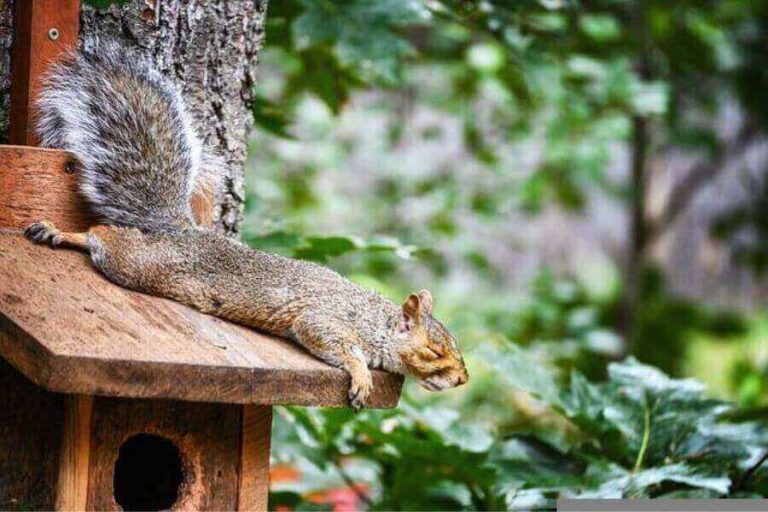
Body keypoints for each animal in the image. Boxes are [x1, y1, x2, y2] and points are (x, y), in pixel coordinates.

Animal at [24, 39, 468, 408]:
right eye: (434, 351)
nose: (463, 379)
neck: (376, 320)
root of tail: (179, 230)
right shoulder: (327, 320)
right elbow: (331, 340)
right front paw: (361, 377)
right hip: (145, 266)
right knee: (104, 237)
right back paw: (62, 233)